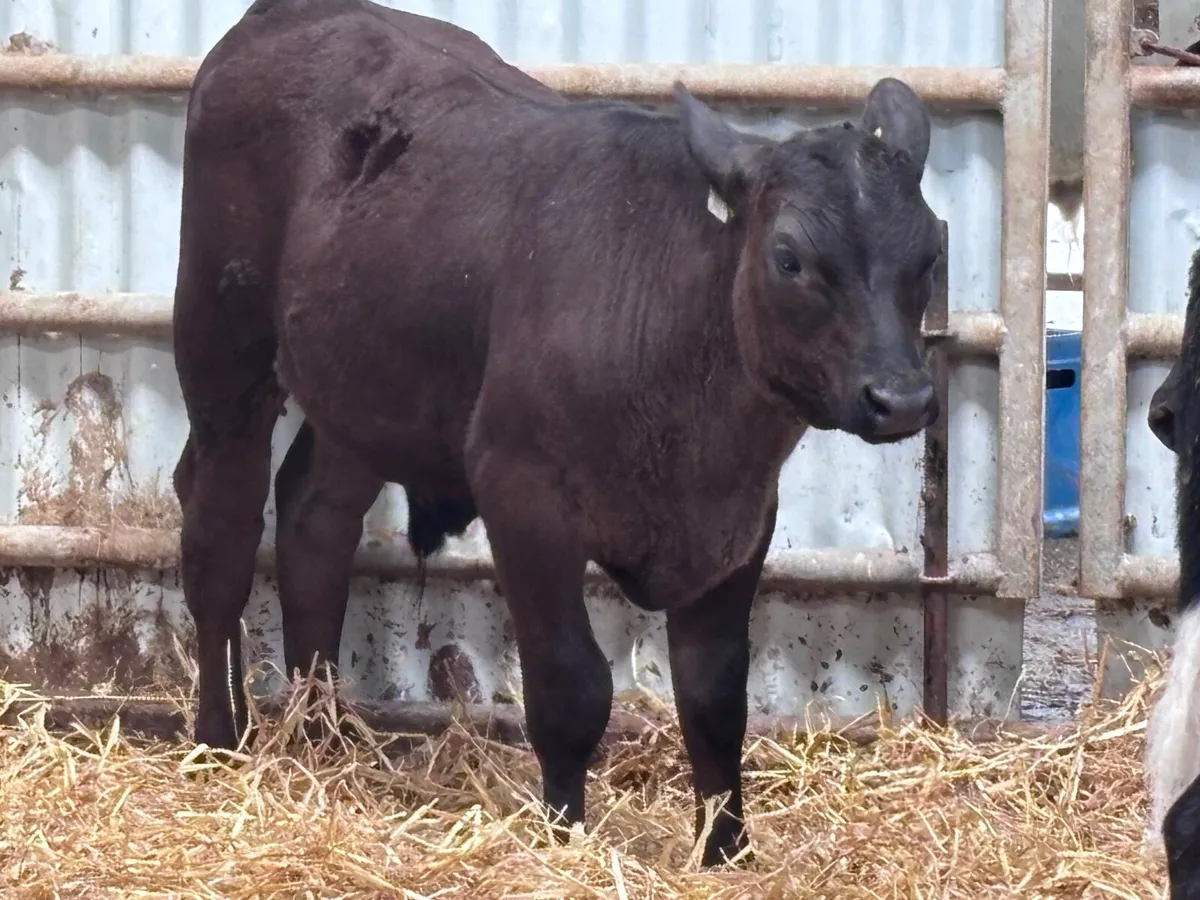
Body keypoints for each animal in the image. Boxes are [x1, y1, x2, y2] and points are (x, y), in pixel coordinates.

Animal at [171, 0, 942, 866]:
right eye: (790, 258)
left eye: (931, 252)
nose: (902, 398)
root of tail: (289, 14)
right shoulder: (523, 493)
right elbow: (573, 683)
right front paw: (564, 831)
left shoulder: (741, 521)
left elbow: (715, 695)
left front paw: (725, 849)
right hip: (221, 342)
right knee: (220, 531)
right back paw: (220, 737)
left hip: (361, 385)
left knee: (314, 522)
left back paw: (324, 734)